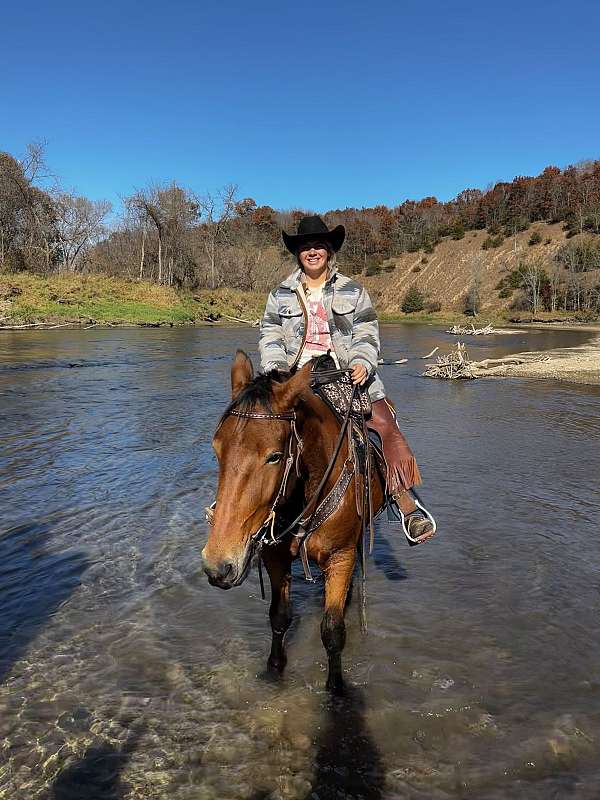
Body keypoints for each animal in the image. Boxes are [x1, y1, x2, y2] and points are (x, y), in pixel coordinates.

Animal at [202, 350, 384, 692]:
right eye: (217, 448)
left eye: (274, 456)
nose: (218, 565)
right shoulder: (275, 557)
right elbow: (278, 616)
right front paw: (274, 668)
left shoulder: (340, 557)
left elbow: (333, 630)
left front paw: (336, 690)